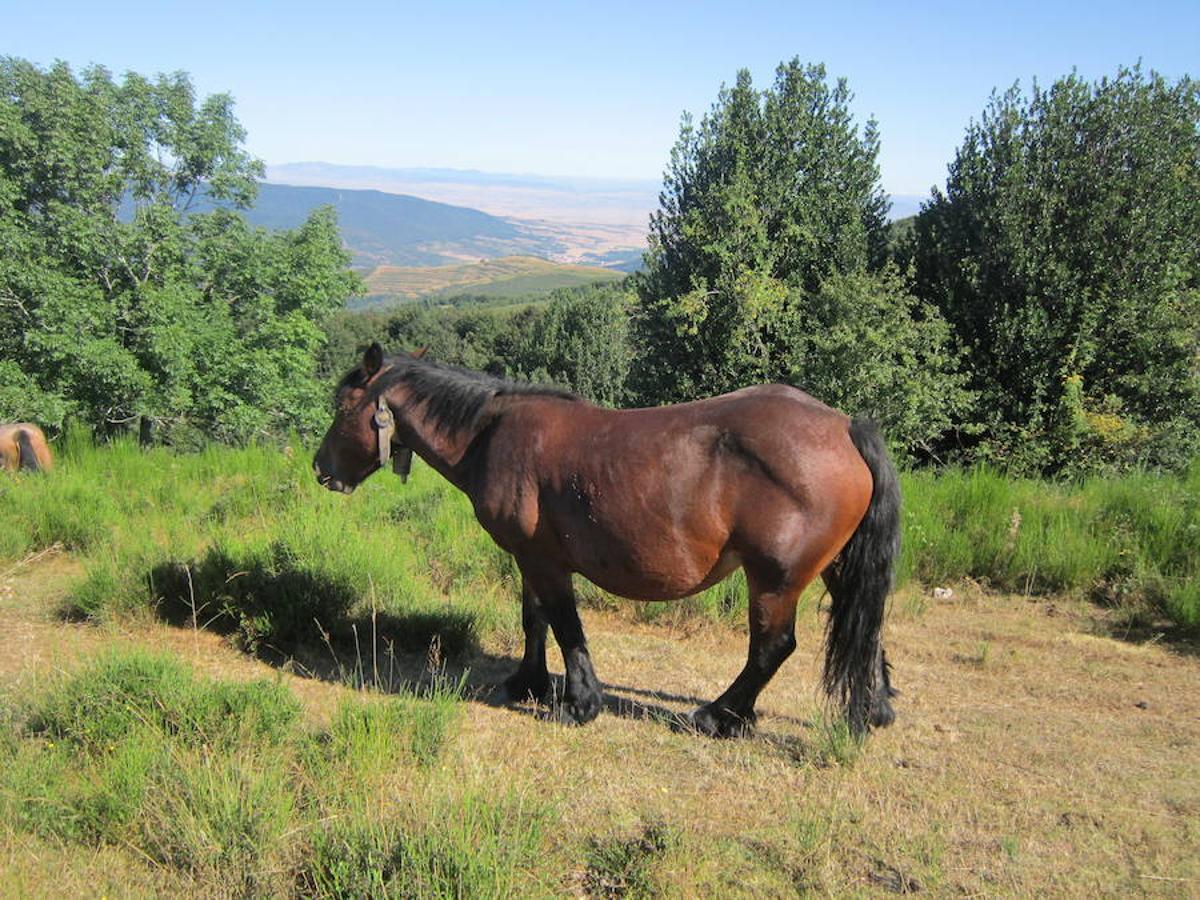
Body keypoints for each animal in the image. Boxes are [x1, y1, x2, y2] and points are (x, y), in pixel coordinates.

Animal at [314, 345, 897, 739]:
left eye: (342, 408)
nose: (321, 470)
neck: (489, 435)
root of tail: (845, 427)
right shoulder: (530, 558)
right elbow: (534, 619)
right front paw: (529, 681)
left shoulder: (546, 561)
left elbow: (566, 626)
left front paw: (580, 701)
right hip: (836, 567)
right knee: (864, 627)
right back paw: (874, 706)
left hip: (775, 579)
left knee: (772, 648)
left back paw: (720, 715)